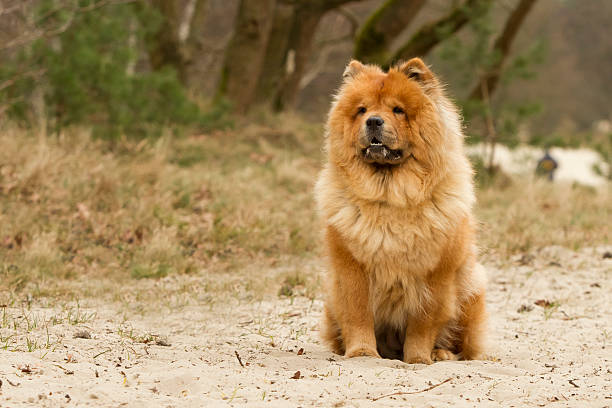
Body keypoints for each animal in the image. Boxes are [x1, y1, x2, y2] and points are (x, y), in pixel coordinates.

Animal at [316, 57, 488, 364]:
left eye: (398, 110)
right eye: (362, 110)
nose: (374, 120)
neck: (389, 197)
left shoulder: (435, 275)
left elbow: (423, 322)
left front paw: (418, 358)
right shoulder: (351, 266)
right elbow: (357, 314)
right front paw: (362, 352)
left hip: (472, 290)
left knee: (463, 344)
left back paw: (441, 353)